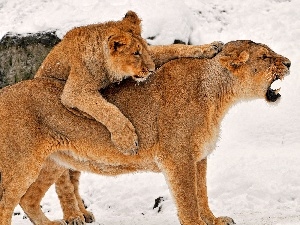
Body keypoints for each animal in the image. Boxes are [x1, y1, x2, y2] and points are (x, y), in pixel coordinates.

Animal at [0, 40, 290, 225]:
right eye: (265, 57)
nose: (289, 62)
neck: (219, 96)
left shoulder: (199, 158)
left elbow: (202, 192)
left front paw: (213, 220)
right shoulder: (177, 157)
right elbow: (188, 199)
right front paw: (197, 222)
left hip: (51, 162)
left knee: (28, 199)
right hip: (20, 164)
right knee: (7, 202)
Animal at [34, 10, 223, 155]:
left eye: (144, 50)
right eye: (135, 53)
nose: (151, 70)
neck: (107, 69)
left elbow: (172, 48)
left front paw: (210, 47)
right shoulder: (74, 91)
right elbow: (106, 109)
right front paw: (127, 141)